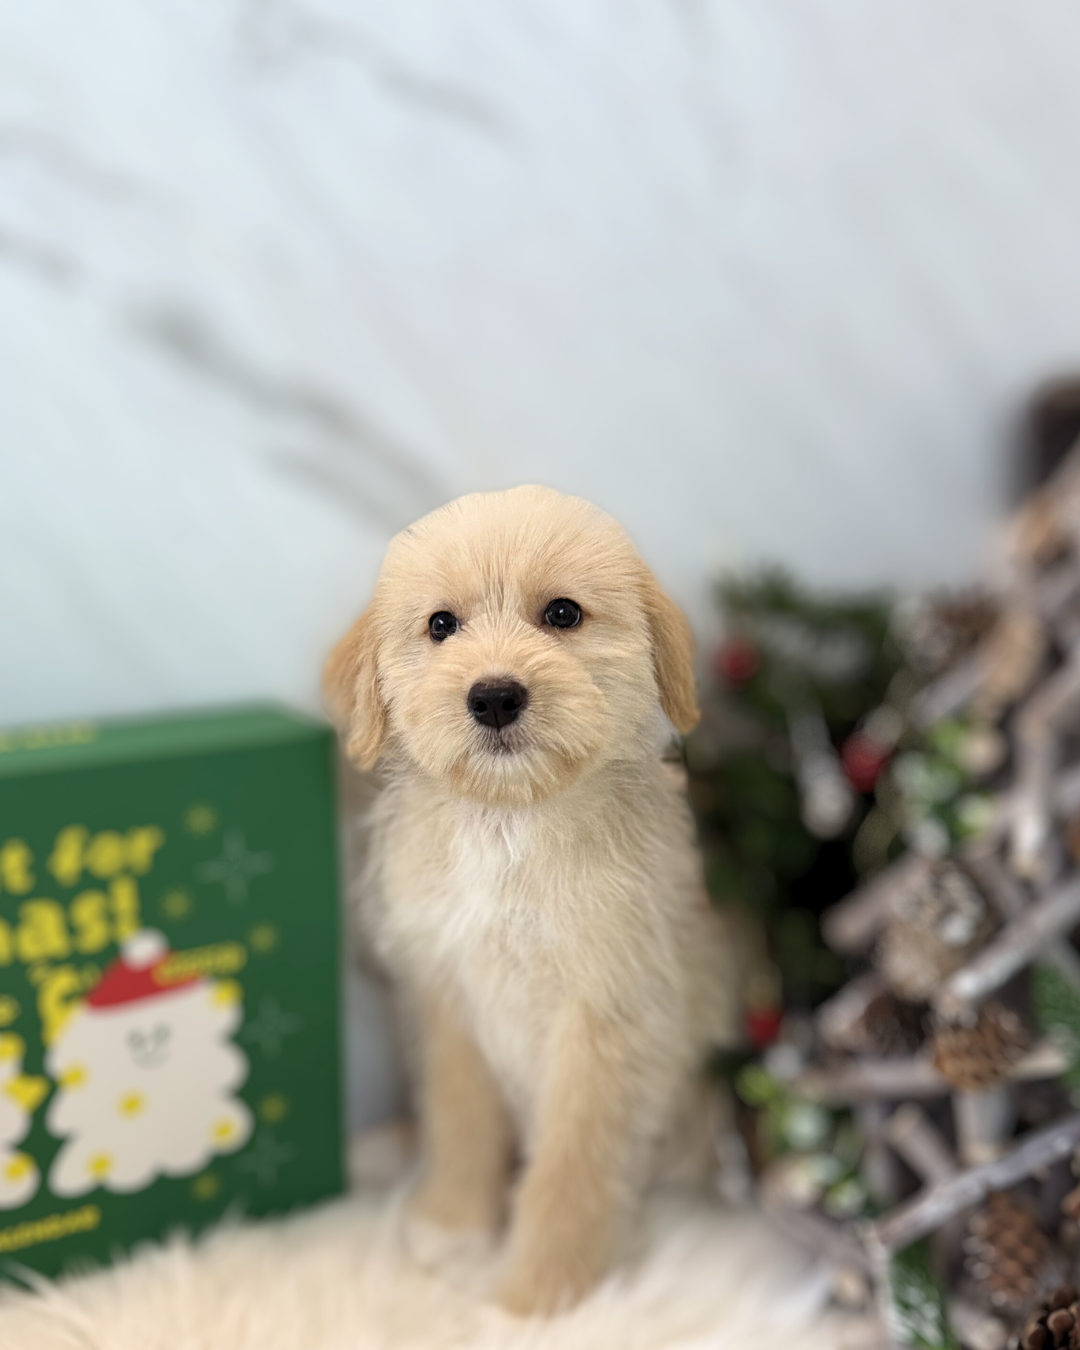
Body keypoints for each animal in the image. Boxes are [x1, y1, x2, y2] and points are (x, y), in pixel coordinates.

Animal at [325, 488, 739, 1317]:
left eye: (562, 614)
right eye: (441, 626)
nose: (494, 696)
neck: (509, 825)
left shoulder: (606, 1022)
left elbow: (571, 1168)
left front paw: (539, 1295)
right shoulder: (447, 998)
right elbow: (459, 1120)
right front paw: (453, 1224)